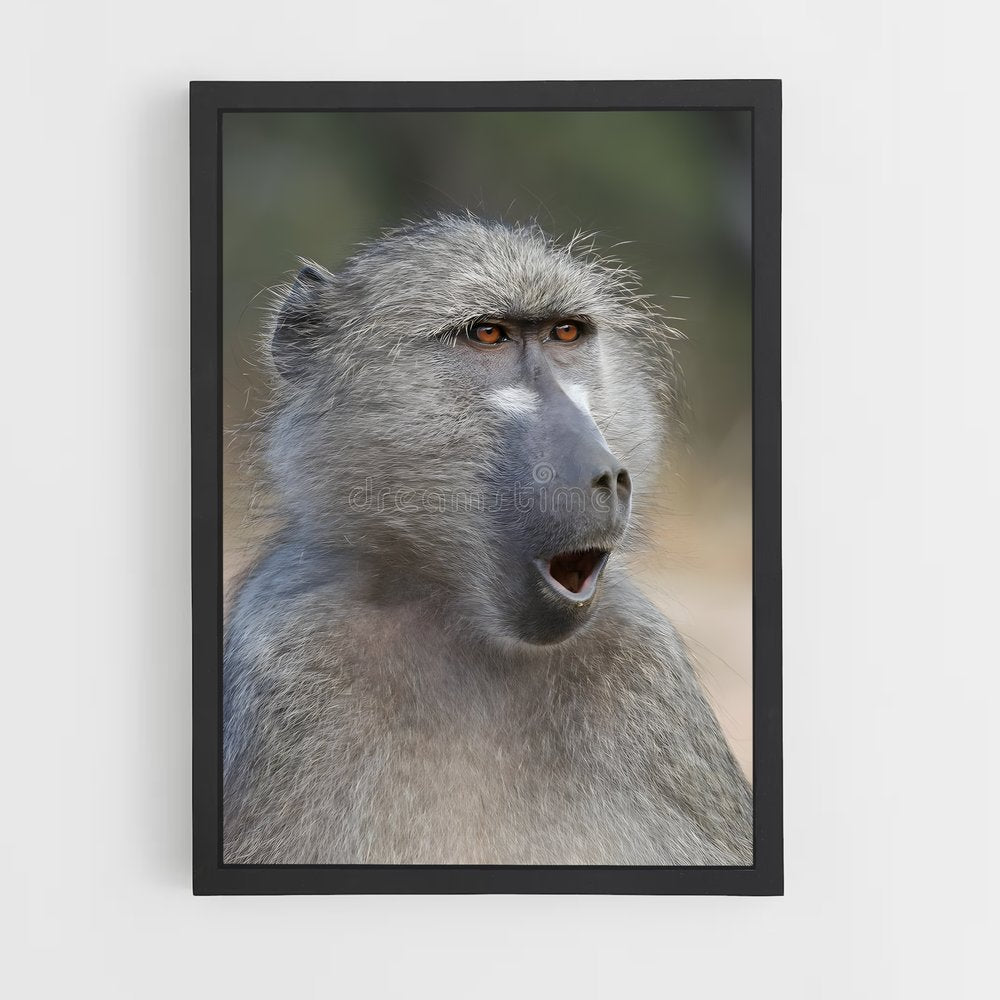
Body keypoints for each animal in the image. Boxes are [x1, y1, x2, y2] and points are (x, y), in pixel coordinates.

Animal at [223, 214, 753, 865]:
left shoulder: (642, 660)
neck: (460, 624)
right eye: (489, 335)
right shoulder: (290, 651)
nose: (605, 474)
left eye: (566, 333)